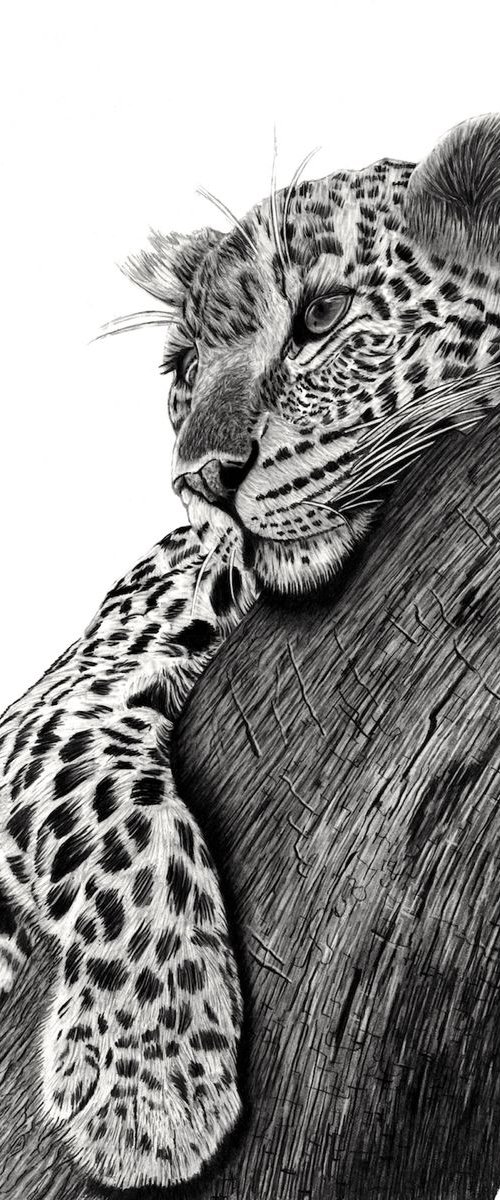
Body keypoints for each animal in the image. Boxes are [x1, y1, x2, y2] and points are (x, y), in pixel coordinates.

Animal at [1, 113, 500, 1193]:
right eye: (184, 369)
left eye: (321, 318)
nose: (200, 479)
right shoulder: (61, 698)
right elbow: (122, 819)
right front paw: (148, 1090)